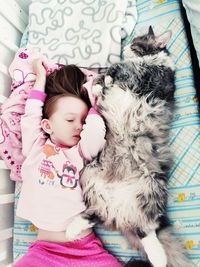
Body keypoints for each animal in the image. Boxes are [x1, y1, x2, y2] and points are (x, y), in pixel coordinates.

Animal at [66, 26, 190, 267]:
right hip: (91, 181)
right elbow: (104, 77)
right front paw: (99, 86)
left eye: (136, 42)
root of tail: (119, 210)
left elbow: (115, 69)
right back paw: (72, 228)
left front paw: (105, 80)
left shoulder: (145, 75)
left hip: (151, 189)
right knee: (94, 216)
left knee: (148, 230)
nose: (125, 46)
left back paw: (158, 258)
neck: (150, 59)